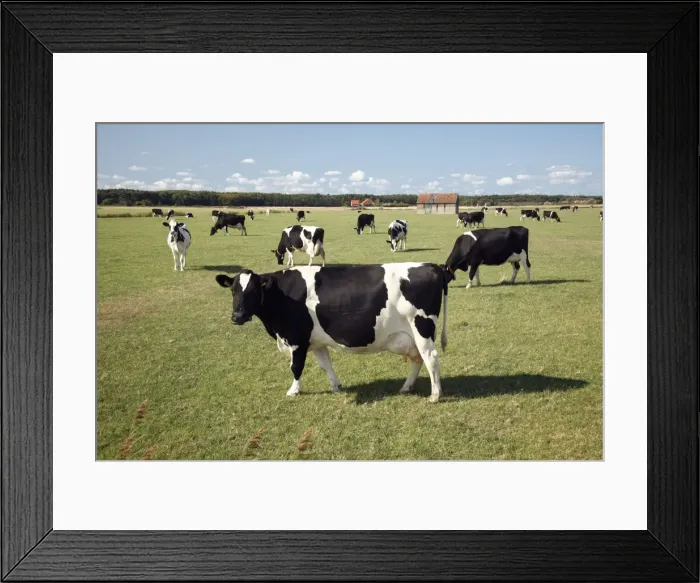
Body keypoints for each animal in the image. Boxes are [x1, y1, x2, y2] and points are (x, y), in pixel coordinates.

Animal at [215, 262, 450, 402]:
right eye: (233, 290)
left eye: (253, 290)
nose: (237, 316)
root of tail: (432, 266)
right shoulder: (316, 341)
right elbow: (325, 364)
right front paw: (336, 385)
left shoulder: (297, 339)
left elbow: (296, 367)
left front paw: (293, 391)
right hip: (412, 336)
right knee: (418, 359)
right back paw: (407, 387)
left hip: (422, 328)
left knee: (431, 358)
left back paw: (435, 395)